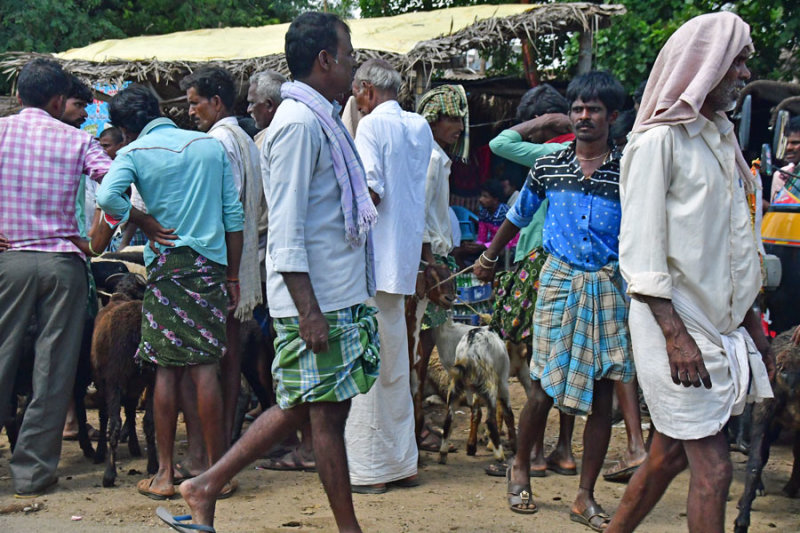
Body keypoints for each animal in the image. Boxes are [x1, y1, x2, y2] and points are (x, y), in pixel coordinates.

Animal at [90, 272, 156, 484]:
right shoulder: (137, 385)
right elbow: (131, 413)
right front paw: (134, 445)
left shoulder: (105, 382)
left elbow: (106, 417)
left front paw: (100, 452)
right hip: (150, 380)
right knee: (148, 422)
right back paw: (153, 466)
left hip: (114, 380)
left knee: (113, 424)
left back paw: (109, 474)